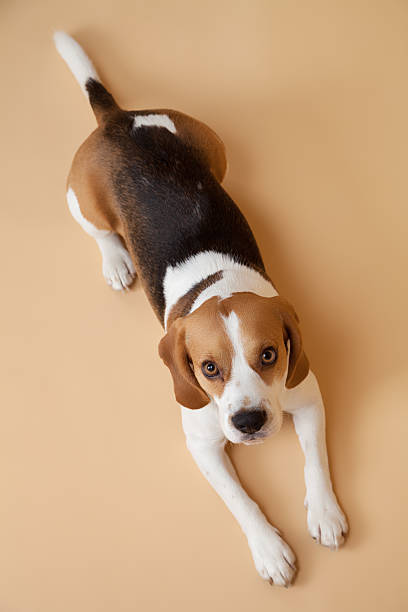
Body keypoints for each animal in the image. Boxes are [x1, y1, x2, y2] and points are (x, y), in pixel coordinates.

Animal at [53, 31, 348, 584]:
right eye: (208, 368)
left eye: (270, 355)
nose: (249, 423)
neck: (216, 286)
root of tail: (119, 119)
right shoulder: (202, 445)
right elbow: (240, 500)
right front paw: (269, 548)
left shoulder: (307, 397)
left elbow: (315, 459)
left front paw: (324, 511)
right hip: (80, 201)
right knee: (100, 232)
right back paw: (116, 260)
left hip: (216, 147)